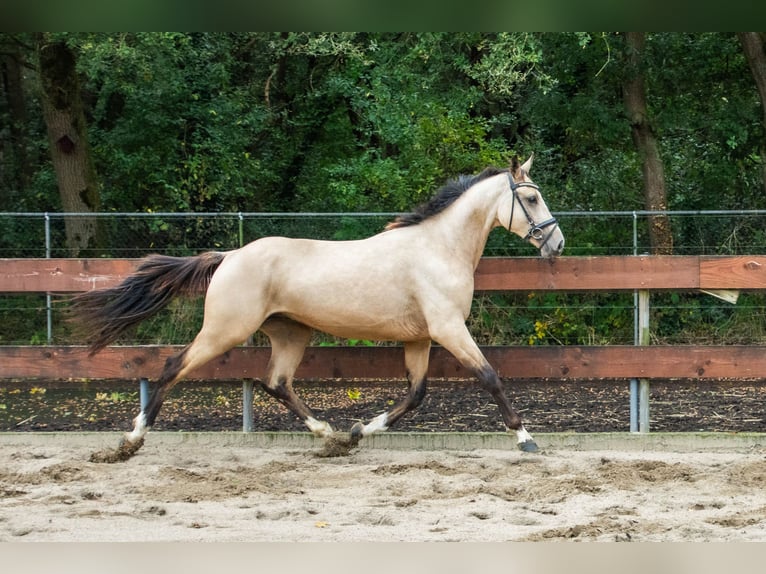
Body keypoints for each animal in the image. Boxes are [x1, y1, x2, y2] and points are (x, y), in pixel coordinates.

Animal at [72, 154, 564, 464]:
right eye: (532, 197)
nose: (557, 243)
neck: (438, 248)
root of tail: (230, 256)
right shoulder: (448, 329)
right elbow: (489, 377)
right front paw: (526, 439)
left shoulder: (421, 337)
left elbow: (415, 394)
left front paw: (358, 433)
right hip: (225, 331)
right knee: (174, 367)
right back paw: (129, 442)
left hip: (291, 333)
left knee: (276, 382)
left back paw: (329, 436)